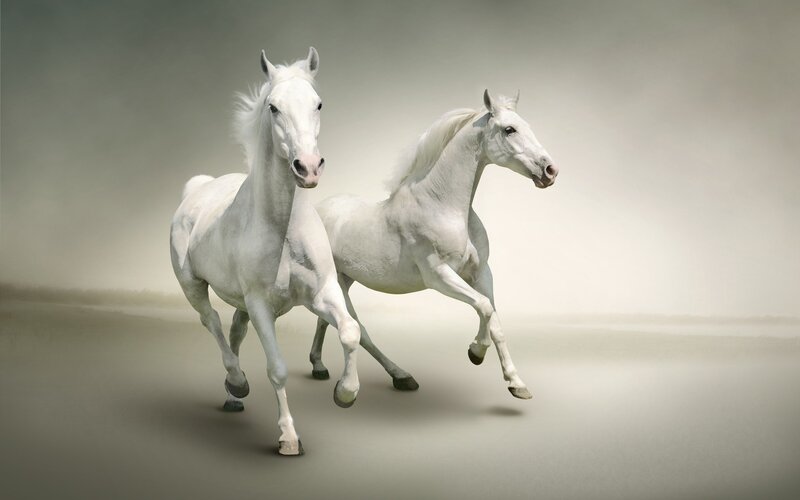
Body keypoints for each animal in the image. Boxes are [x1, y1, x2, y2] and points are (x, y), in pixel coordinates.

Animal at [170, 48, 360, 456]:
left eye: (318, 103)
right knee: (211, 322)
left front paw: (345, 393)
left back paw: (233, 395)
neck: (284, 229)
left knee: (234, 330)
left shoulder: (322, 293)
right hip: (192, 286)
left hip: (240, 302)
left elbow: (350, 331)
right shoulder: (260, 305)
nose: (308, 167)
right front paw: (288, 438)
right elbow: (277, 369)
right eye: (273, 107)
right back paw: (237, 382)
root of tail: (198, 188)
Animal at [308, 90, 558, 400]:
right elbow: (484, 307)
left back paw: (319, 367)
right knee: (358, 329)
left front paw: (516, 384)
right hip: (338, 284)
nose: (550, 170)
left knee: (326, 321)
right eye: (509, 129)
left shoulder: (481, 273)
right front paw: (476, 352)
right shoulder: (439, 276)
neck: (443, 205)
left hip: (344, 279)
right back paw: (397, 377)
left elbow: (495, 320)